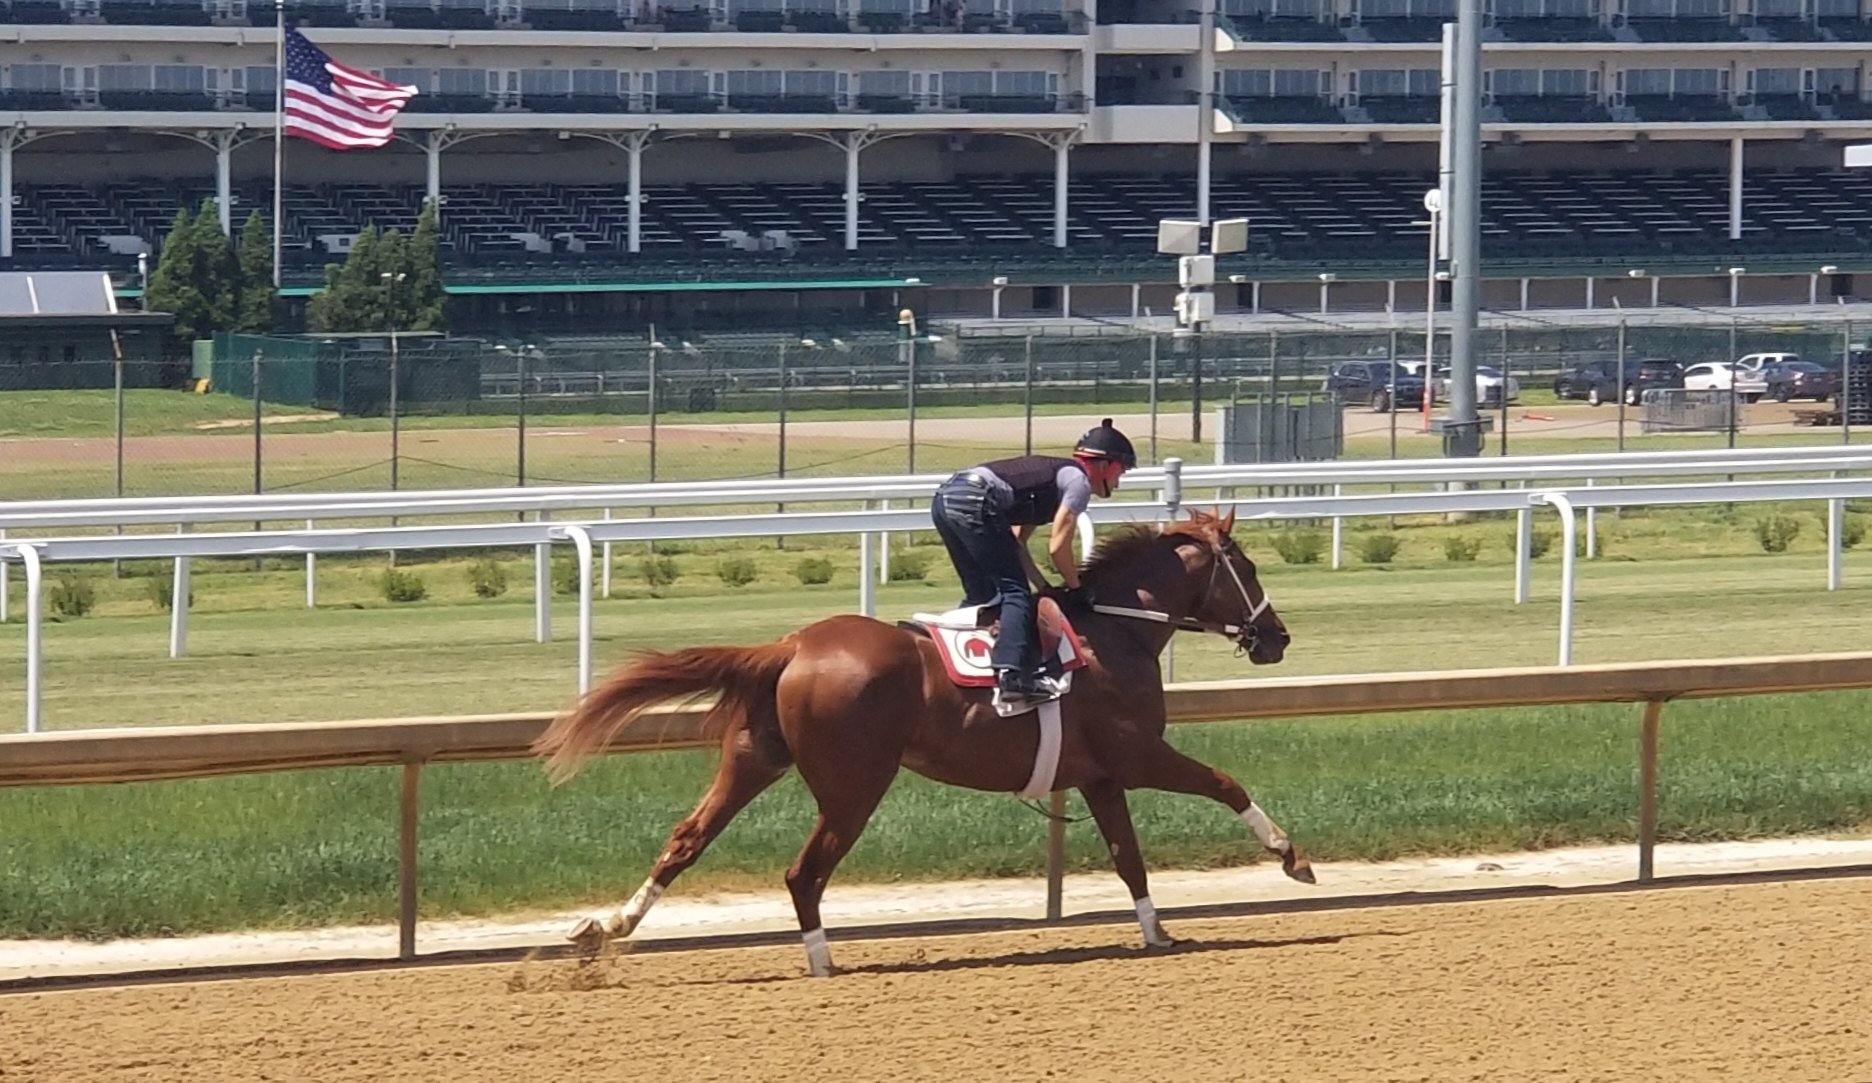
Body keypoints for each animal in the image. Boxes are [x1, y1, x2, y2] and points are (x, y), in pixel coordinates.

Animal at [535, 512, 1310, 980]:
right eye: (1246, 566)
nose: (1276, 637)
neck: (1116, 629)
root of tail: (791, 645)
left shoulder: (1098, 776)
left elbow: (1129, 859)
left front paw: (1157, 934)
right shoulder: (1138, 753)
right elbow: (1224, 782)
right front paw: (1290, 855)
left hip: (756, 757)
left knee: (687, 838)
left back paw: (608, 925)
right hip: (855, 784)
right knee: (804, 871)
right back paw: (821, 960)